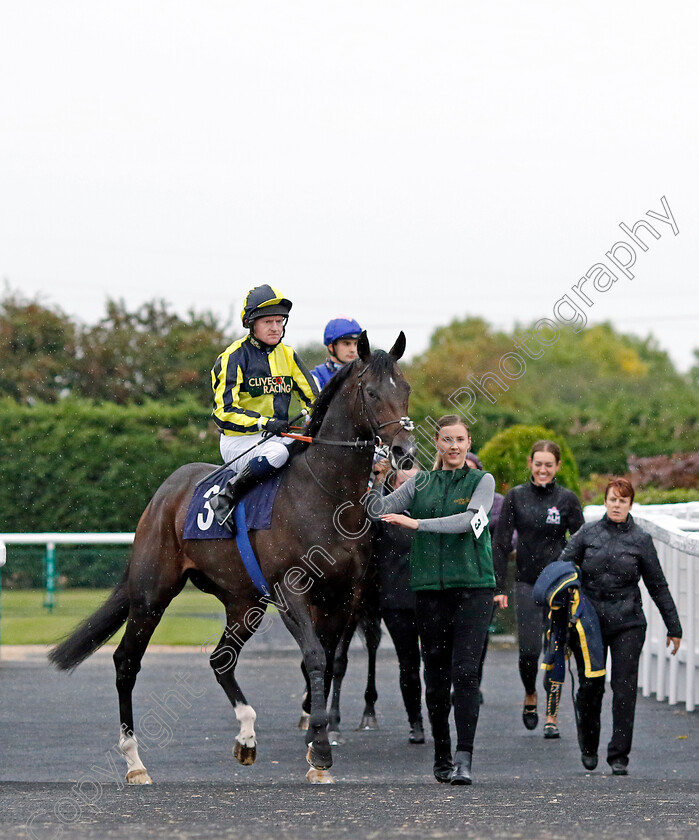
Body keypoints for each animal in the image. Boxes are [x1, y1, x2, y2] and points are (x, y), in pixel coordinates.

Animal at [49, 334, 416, 788]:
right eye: (371, 392)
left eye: (405, 388)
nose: (404, 452)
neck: (325, 495)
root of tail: (164, 493)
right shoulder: (291, 591)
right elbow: (314, 658)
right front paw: (321, 750)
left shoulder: (344, 597)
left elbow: (330, 662)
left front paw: (316, 743)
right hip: (152, 593)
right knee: (126, 662)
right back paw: (135, 761)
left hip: (243, 603)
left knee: (220, 659)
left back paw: (246, 736)